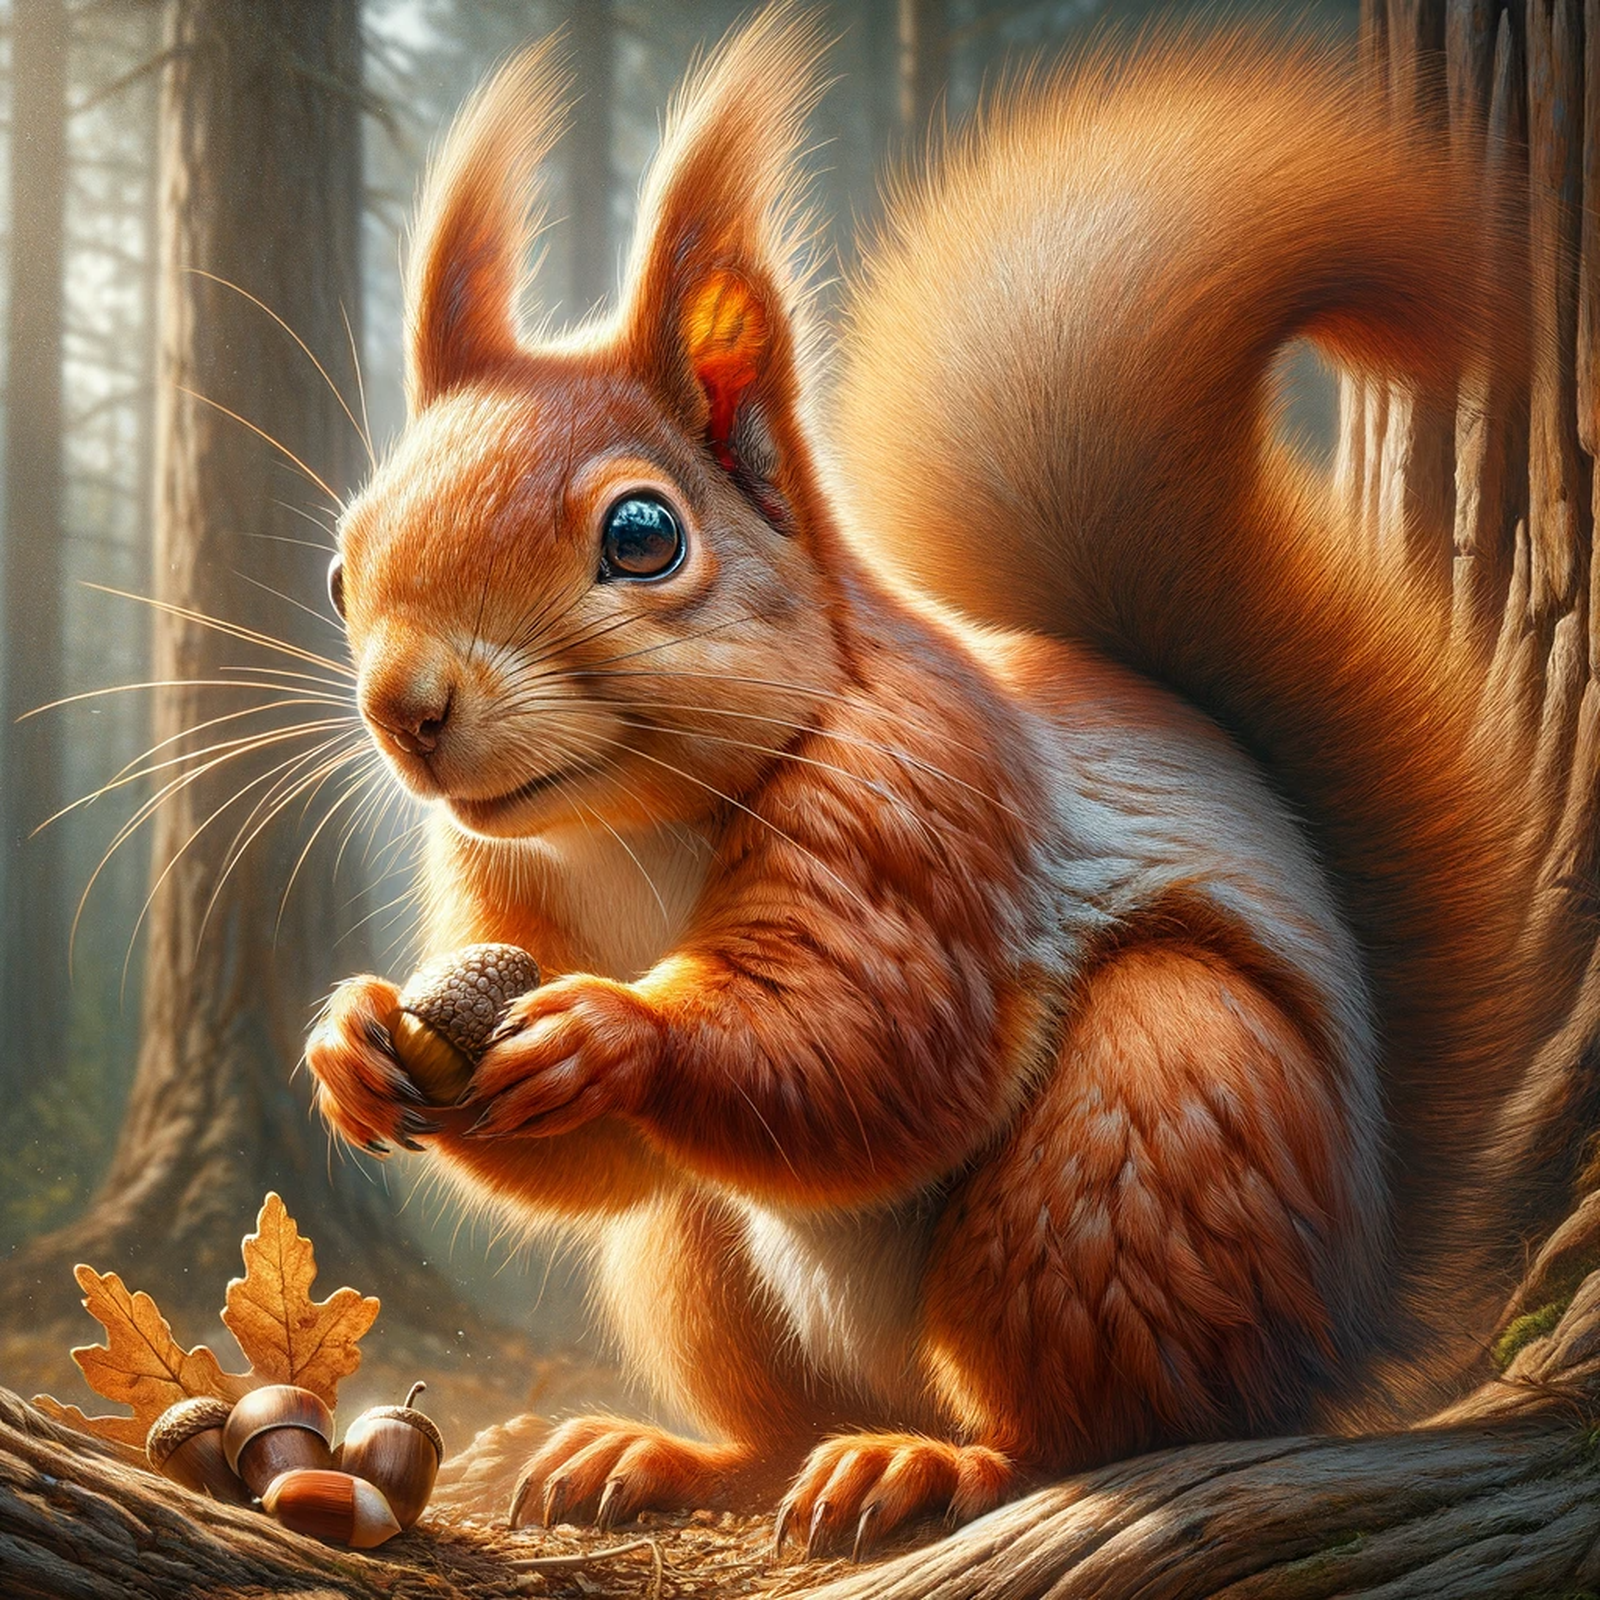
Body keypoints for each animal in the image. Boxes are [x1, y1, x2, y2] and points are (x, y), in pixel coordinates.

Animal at [304, 6, 1578, 1556]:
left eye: (645, 535)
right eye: (341, 565)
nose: (406, 710)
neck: (629, 828)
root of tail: (1337, 1329)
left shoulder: (926, 804)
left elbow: (875, 1039)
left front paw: (618, 1031)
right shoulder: (503, 887)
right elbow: (602, 1164)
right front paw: (351, 1036)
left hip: (1147, 1134)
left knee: (1099, 1427)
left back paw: (933, 1466)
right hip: (707, 1271)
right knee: (750, 1368)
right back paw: (656, 1453)